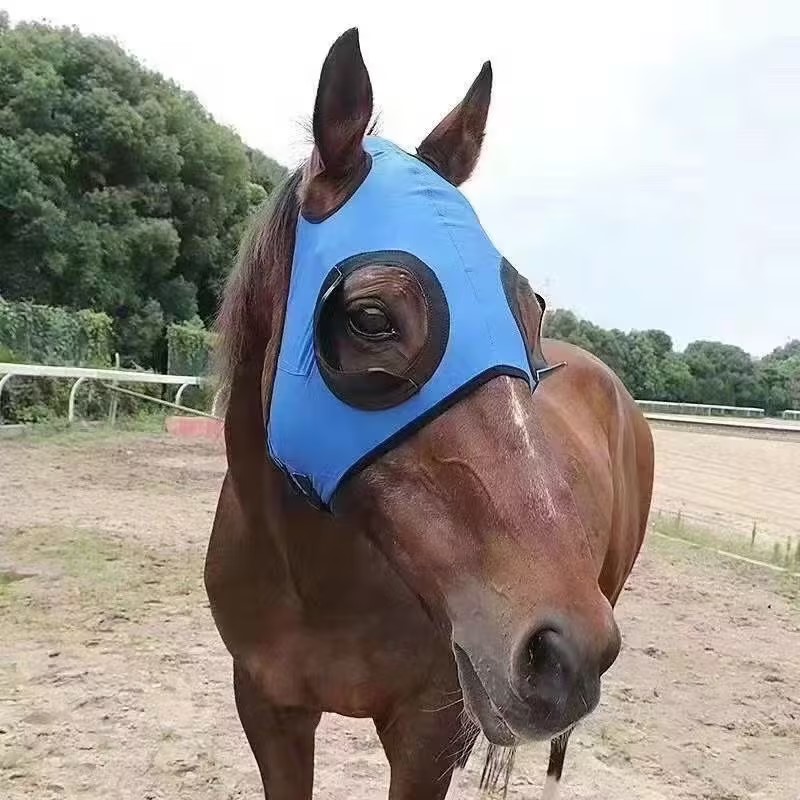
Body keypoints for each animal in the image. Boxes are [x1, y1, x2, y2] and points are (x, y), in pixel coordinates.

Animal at [205, 28, 654, 800]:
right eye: (370, 316)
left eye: (531, 307)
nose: (563, 649)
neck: (318, 583)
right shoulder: (268, 710)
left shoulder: (428, 734)